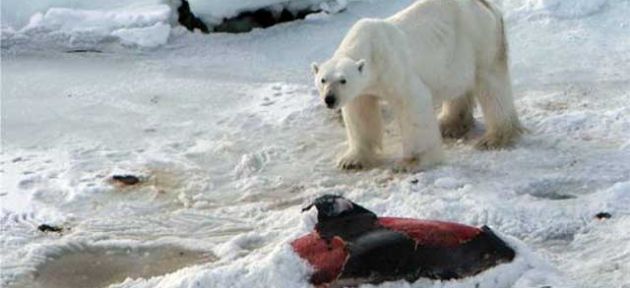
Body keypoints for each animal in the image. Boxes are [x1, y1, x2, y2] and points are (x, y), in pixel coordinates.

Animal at [314, 0, 524, 170]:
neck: (368, 46)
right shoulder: (362, 90)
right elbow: (360, 113)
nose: (330, 99)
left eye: (343, 80)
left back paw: (494, 137)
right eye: (323, 80)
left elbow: (412, 102)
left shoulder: (393, 66)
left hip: (479, 40)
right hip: (454, 56)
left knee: (492, 85)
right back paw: (449, 124)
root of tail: (484, 4)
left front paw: (411, 162)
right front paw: (351, 160)